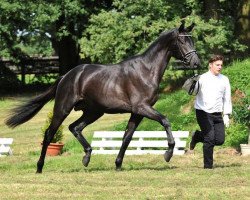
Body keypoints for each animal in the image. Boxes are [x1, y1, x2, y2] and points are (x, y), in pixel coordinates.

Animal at [5, 21, 201, 173]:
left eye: (192, 39)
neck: (145, 71)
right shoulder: (142, 107)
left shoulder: (137, 112)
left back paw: (87, 157)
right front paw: (168, 154)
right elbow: (165, 120)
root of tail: (66, 76)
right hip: (63, 108)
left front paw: (118, 164)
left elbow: (127, 137)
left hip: (93, 112)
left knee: (75, 127)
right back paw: (39, 167)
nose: (196, 63)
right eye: (182, 40)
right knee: (49, 134)